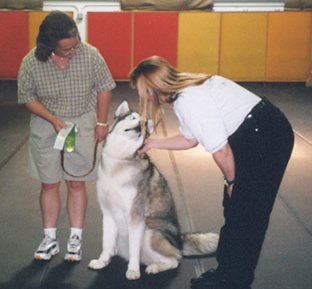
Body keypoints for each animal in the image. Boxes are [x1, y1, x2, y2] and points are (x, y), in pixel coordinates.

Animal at [88, 100, 219, 280]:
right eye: (132, 117)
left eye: (144, 123)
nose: (141, 125)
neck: (120, 159)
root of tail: (178, 240)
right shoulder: (108, 213)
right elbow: (106, 243)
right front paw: (102, 261)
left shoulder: (135, 215)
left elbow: (134, 250)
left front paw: (133, 270)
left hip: (150, 233)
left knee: (175, 259)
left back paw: (155, 267)